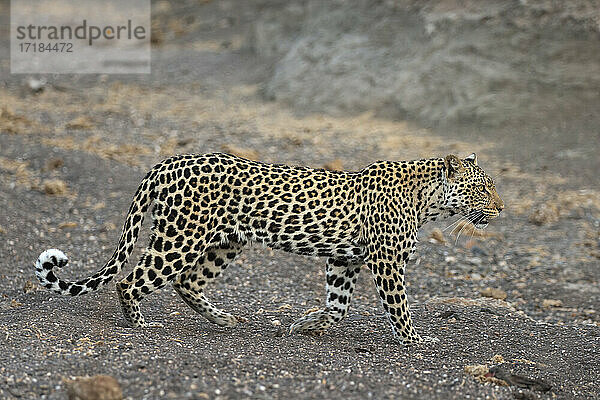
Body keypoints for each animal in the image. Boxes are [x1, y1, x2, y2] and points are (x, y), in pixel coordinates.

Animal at [32, 152, 502, 346]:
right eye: (482, 189)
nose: (500, 208)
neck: (429, 201)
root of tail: (166, 162)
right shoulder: (386, 261)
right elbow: (399, 307)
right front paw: (415, 340)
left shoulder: (344, 259)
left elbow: (338, 306)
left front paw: (306, 326)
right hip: (180, 239)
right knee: (132, 279)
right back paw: (139, 323)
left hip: (225, 243)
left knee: (187, 282)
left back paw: (224, 319)